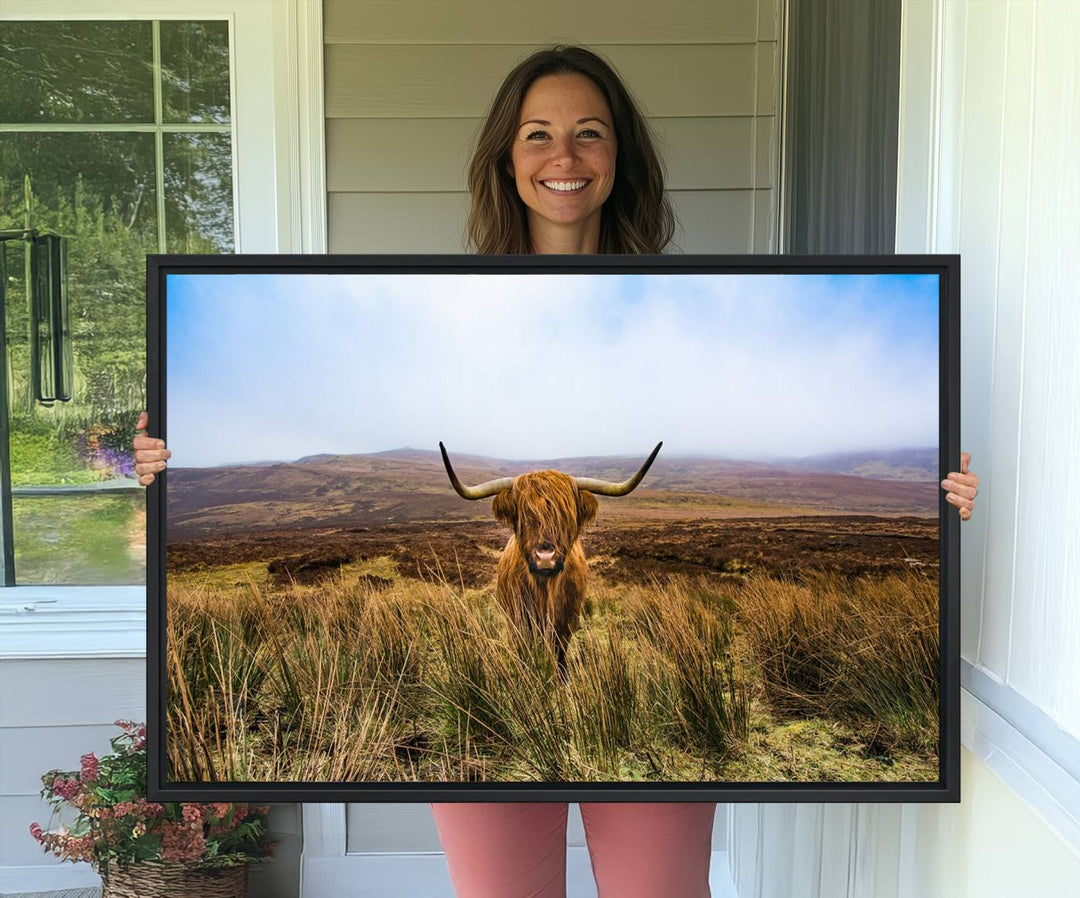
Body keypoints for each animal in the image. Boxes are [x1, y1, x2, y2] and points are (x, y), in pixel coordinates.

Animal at [436, 438, 656, 678]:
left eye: (566, 516)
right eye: (524, 515)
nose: (545, 557)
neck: (545, 589)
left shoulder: (567, 621)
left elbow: (560, 652)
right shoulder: (518, 619)